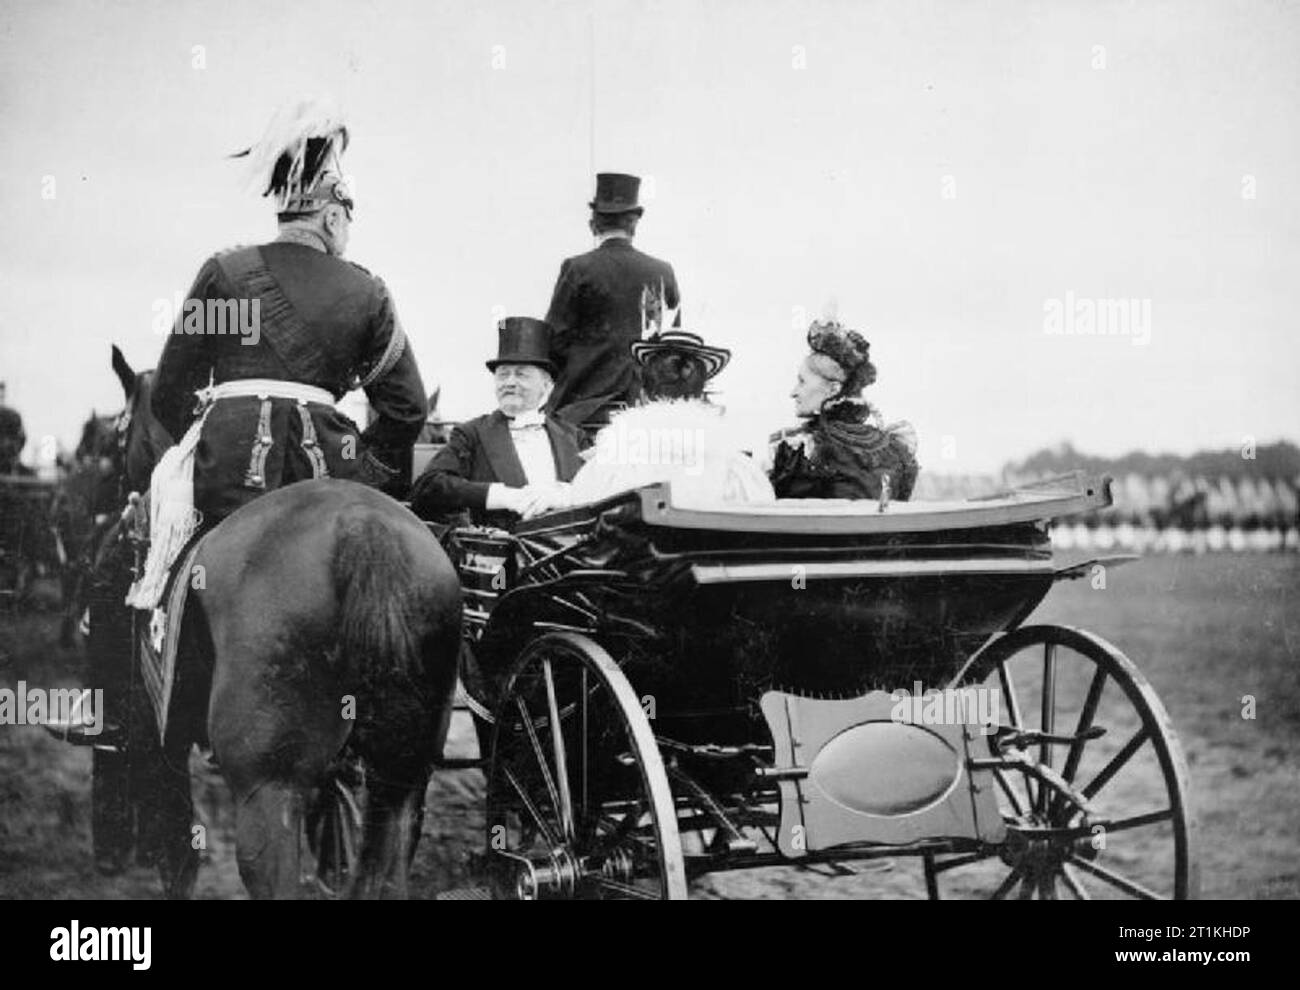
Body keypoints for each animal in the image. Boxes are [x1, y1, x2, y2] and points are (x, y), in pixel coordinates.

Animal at [106, 348, 462, 893]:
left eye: (118, 432)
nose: (123, 517)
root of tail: (363, 526)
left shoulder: (162, 735)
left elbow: (177, 854)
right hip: (401, 777)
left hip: (268, 788)